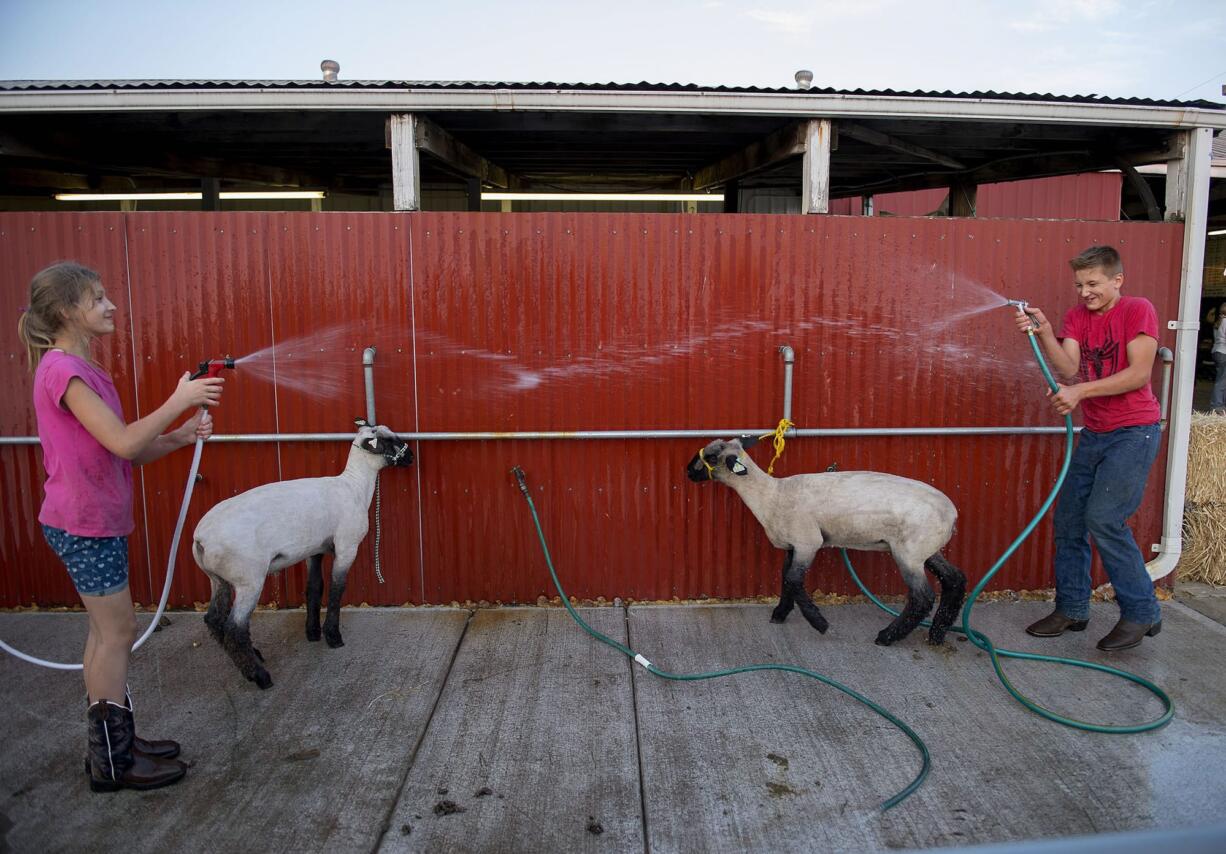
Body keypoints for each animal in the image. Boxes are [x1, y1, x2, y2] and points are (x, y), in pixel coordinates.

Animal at [191, 419, 411, 686]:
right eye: (389, 441)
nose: (410, 456)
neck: (354, 486)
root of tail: (201, 538)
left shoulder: (314, 549)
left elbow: (314, 588)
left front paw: (313, 632)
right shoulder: (346, 546)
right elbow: (337, 589)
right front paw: (333, 636)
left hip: (217, 578)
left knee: (214, 619)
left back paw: (251, 657)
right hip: (248, 578)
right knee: (235, 628)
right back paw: (259, 675)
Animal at [686, 436, 961, 642]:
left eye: (712, 458)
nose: (687, 471)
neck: (771, 496)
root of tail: (952, 514)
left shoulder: (808, 542)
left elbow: (793, 580)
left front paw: (819, 623)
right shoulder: (793, 545)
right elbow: (786, 578)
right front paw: (780, 613)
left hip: (909, 553)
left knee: (923, 597)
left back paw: (887, 636)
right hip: (926, 550)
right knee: (954, 579)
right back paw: (938, 633)